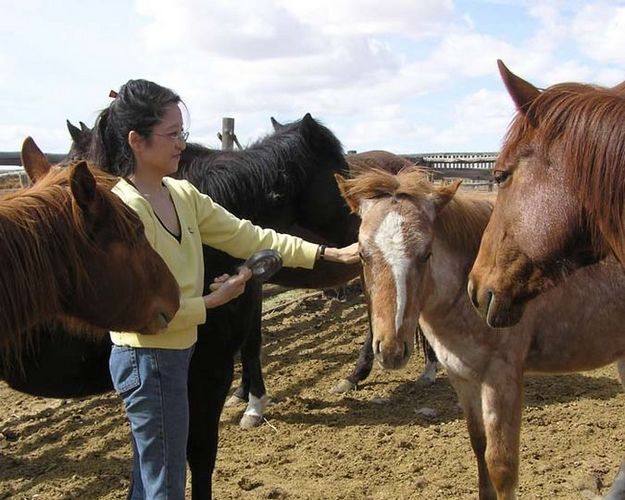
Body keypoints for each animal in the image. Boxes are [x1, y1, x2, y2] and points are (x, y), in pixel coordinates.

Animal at [336, 168, 625, 500]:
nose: (392, 349)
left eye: (426, 254)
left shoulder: (501, 378)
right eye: (362, 254)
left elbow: (501, 466)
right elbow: (478, 444)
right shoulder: (460, 375)